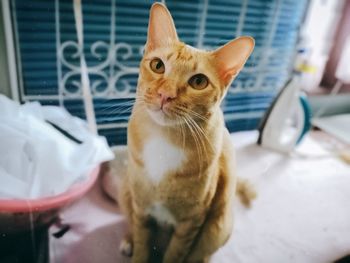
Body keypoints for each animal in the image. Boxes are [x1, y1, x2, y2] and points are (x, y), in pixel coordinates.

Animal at [113, 2, 254, 263]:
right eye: (158, 65)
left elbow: (176, 253)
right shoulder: (141, 208)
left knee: (202, 252)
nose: (165, 95)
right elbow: (142, 242)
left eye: (199, 82)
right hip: (126, 192)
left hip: (219, 228)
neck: (164, 138)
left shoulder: (191, 222)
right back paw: (127, 240)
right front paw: (137, 247)